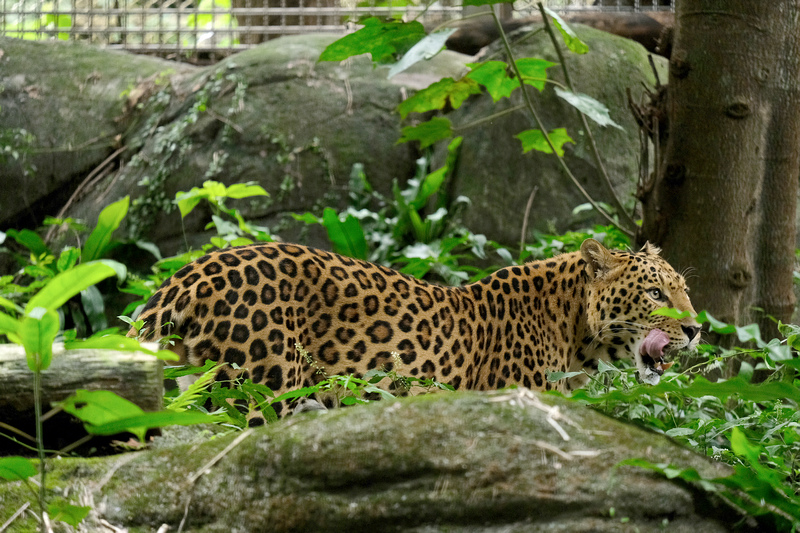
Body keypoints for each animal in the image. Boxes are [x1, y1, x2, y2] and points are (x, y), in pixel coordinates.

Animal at [130, 237, 700, 424]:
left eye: (684, 290)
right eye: (656, 294)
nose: (695, 329)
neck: (574, 330)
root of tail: (189, 273)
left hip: (202, 391)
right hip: (260, 395)